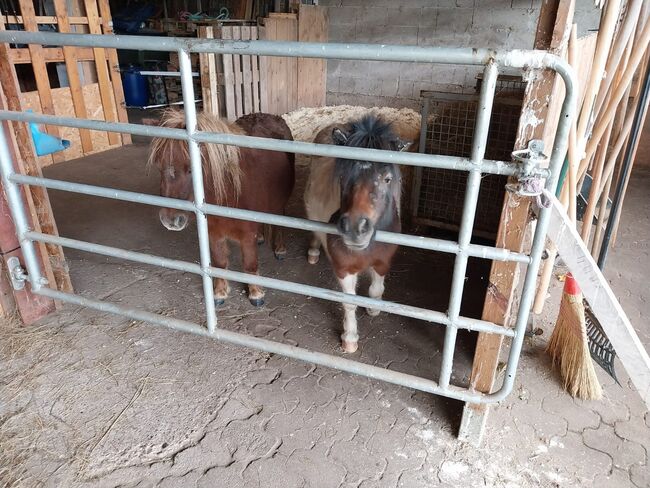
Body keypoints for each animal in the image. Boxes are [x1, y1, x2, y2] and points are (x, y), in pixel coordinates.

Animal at [149, 111, 294, 304]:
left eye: (191, 169)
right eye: (159, 166)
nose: (170, 220)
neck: (229, 193)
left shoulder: (247, 236)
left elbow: (250, 264)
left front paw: (256, 293)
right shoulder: (213, 233)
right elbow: (219, 263)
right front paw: (219, 292)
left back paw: (279, 248)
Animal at [306, 115, 410, 350]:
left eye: (387, 178)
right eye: (343, 175)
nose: (355, 228)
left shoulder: (383, 262)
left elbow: (375, 290)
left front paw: (374, 308)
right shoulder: (343, 268)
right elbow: (349, 303)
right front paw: (350, 338)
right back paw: (313, 253)